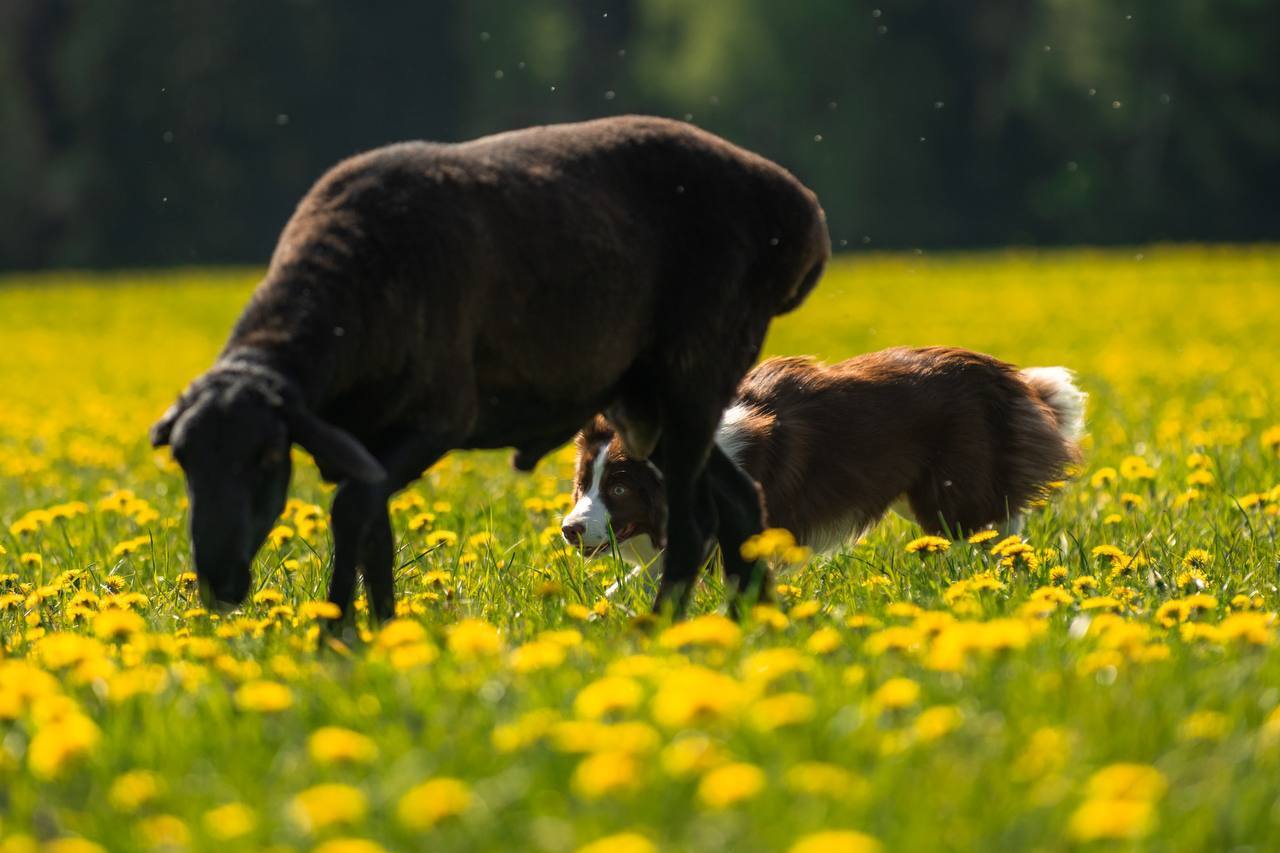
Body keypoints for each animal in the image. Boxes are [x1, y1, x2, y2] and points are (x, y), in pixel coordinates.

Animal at [149, 114, 829, 617]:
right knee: (740, 503)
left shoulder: (439, 418)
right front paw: (377, 639)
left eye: (267, 457)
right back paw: (751, 628)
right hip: (652, 402)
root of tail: (803, 213)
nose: (219, 584)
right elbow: (372, 533)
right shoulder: (368, 439)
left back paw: (664, 632)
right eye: (181, 460)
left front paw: (335, 638)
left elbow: (351, 510)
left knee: (693, 525)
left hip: (695, 373)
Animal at [560, 343, 1080, 589]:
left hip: (952, 493)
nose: (568, 529)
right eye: (583, 485)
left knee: (995, 526)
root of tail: (1008, 375)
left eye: (620, 489)